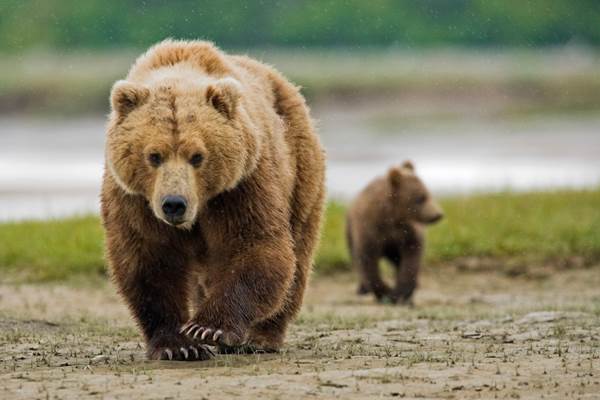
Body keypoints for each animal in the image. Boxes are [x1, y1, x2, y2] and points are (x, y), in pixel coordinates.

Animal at [101, 39, 326, 360]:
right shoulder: (135, 200)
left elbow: (254, 246)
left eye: (197, 156)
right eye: (154, 155)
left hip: (299, 170)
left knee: (298, 255)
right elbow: (148, 259)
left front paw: (208, 328)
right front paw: (177, 344)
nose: (174, 203)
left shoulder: (241, 186)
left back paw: (261, 337)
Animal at [344, 161, 442, 304]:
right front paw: (386, 292)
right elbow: (368, 260)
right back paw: (362, 288)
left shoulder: (407, 232)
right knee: (355, 258)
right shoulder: (371, 229)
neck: (393, 216)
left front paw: (401, 293)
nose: (438, 214)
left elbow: (411, 258)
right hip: (350, 230)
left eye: (429, 193)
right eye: (420, 198)